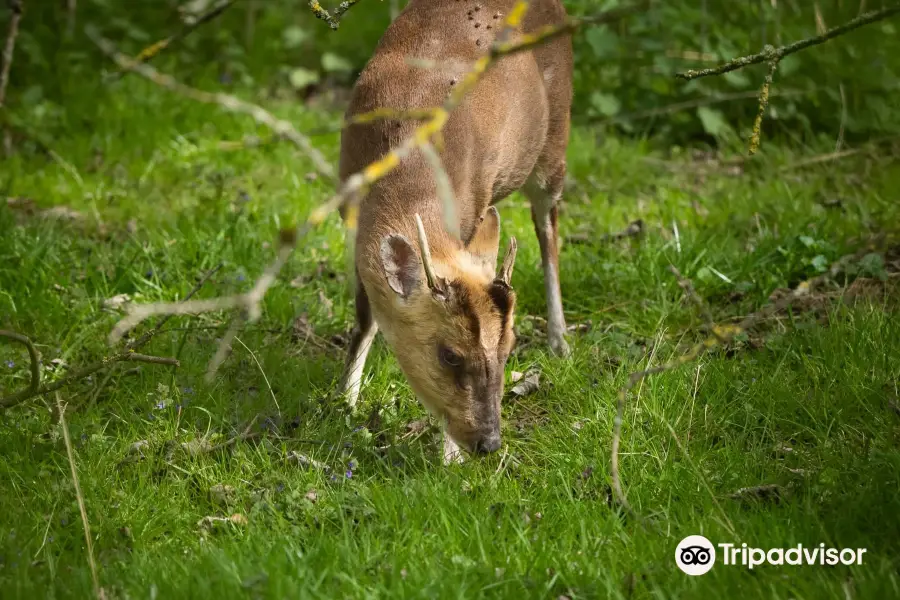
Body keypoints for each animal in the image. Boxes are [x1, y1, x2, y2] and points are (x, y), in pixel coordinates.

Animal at [334, 0, 572, 464]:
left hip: (556, 135)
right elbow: (365, 314)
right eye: (449, 355)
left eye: (510, 348)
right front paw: (343, 403)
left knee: (548, 224)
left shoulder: (475, 205)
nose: (488, 443)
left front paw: (448, 457)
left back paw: (560, 342)